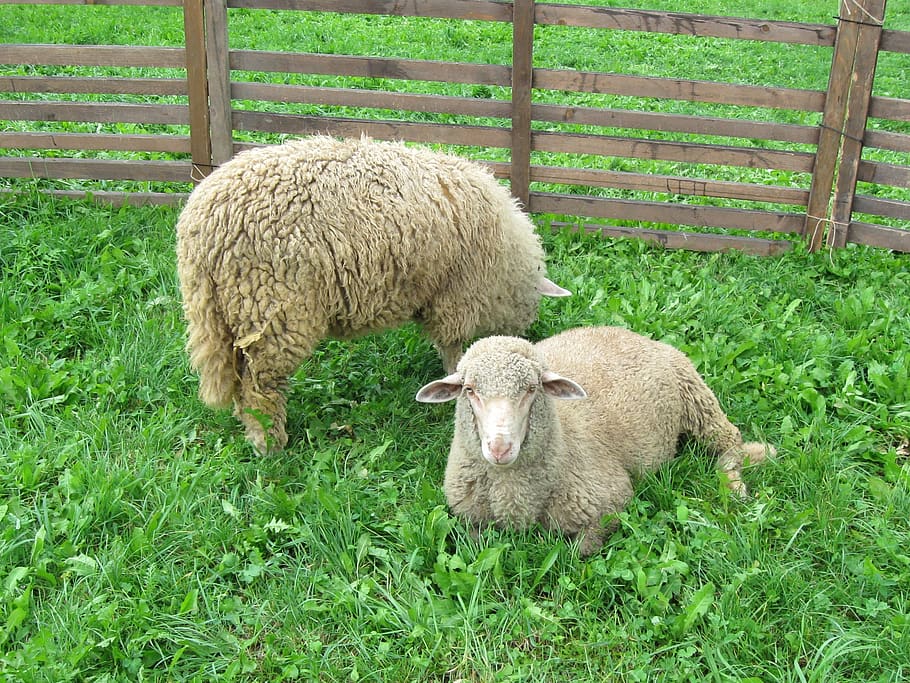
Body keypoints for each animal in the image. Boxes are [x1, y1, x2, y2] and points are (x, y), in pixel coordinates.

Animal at [176, 135, 569, 453]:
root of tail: (201, 226)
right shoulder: (455, 295)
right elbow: (451, 346)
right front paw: (453, 379)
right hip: (270, 307)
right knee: (260, 387)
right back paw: (270, 444)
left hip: (228, 311)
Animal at [416, 326, 775, 556]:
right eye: (469, 390)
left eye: (532, 388)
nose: (500, 448)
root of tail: (630, 333)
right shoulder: (467, 517)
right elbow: (475, 544)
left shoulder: (612, 502)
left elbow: (577, 552)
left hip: (698, 399)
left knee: (731, 443)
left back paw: (735, 484)